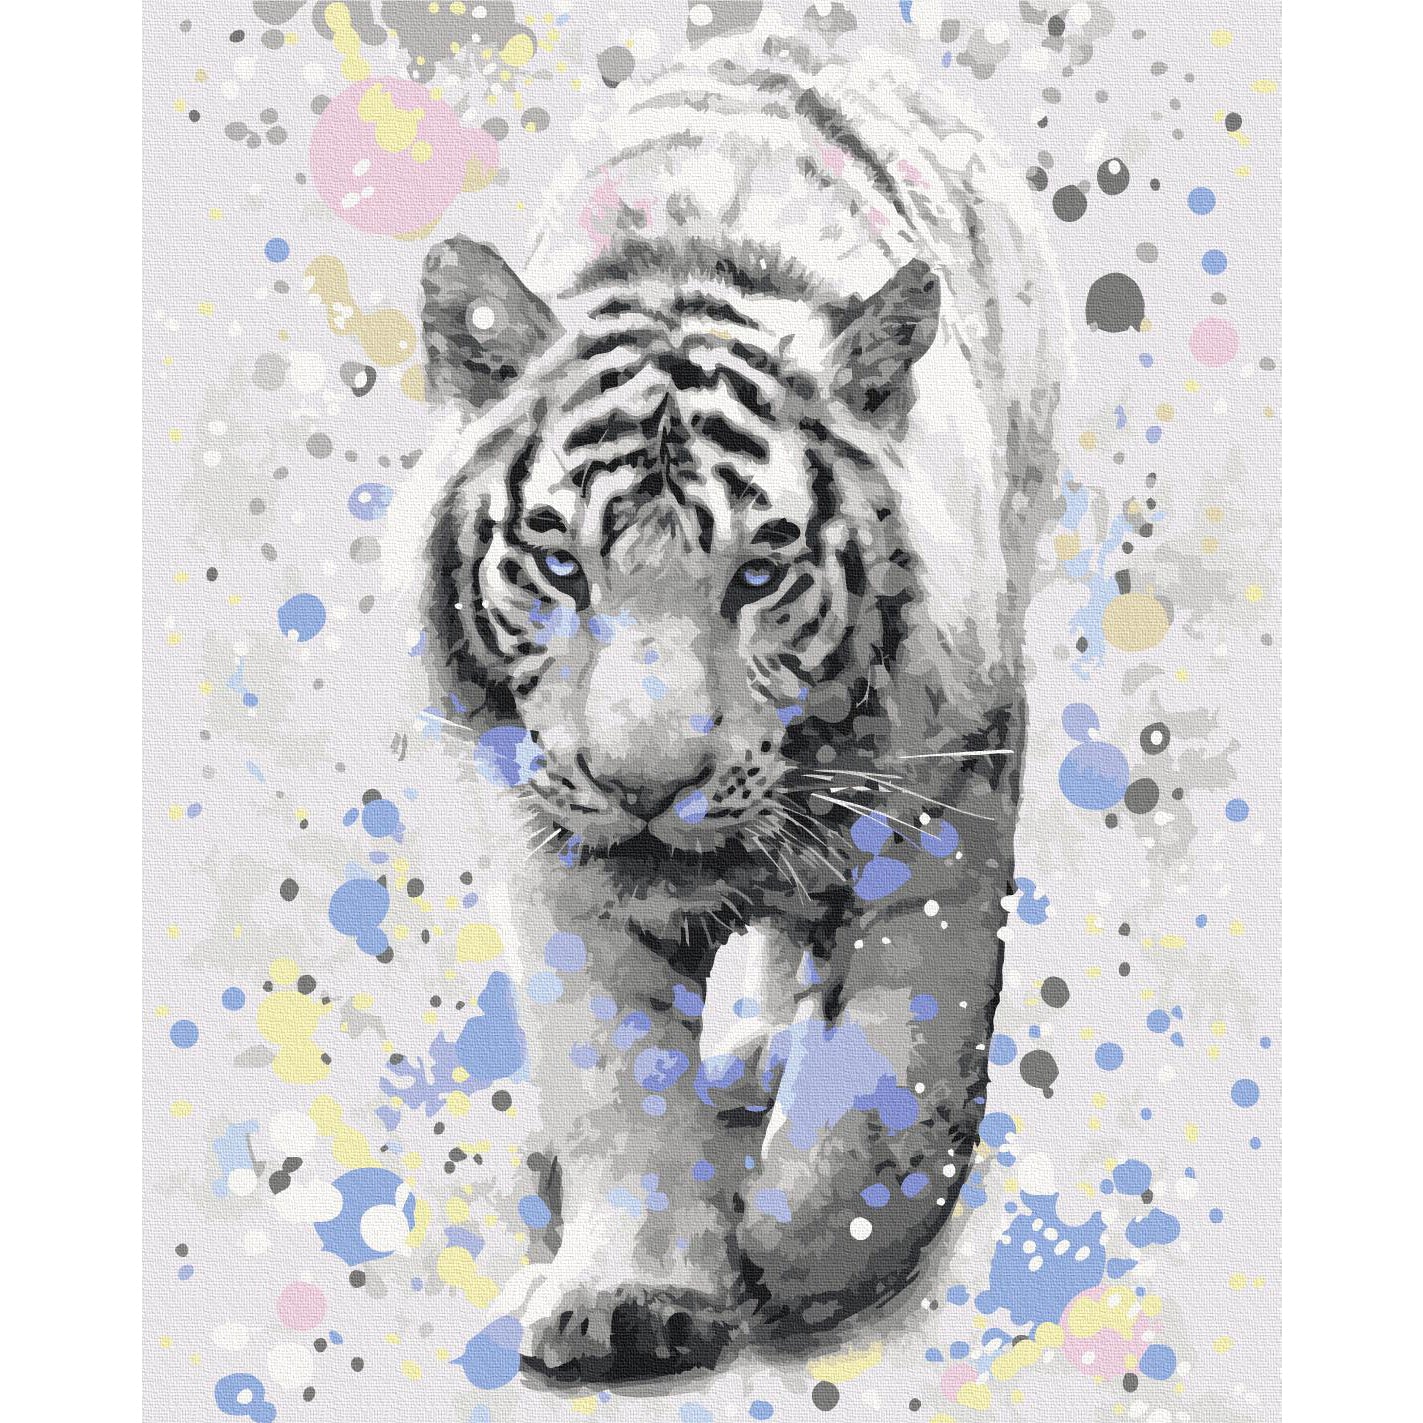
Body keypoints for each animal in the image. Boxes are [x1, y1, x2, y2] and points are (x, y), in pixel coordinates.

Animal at [406, 14, 1067, 1385]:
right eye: (560, 565)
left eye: (759, 575)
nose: (644, 786)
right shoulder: (557, 862)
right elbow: (616, 1081)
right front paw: (631, 1296)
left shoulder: (944, 822)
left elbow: (885, 1084)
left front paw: (805, 1252)